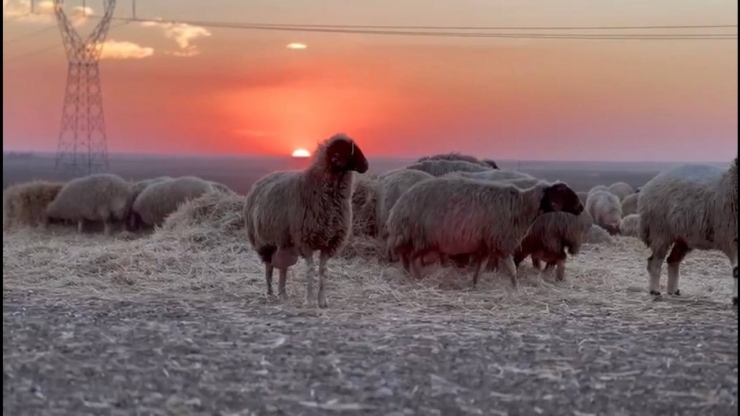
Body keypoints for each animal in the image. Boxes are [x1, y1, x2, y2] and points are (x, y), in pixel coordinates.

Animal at [244, 133, 368, 308]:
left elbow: (323, 272)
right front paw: (309, 300)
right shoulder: (306, 240)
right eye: (346, 150)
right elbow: (310, 271)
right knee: (269, 267)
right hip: (265, 242)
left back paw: (283, 295)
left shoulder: (329, 242)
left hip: (285, 242)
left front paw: (322, 301)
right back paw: (270, 293)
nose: (366, 165)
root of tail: (262, 180)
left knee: (282, 267)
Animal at [382, 178, 584, 290]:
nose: (581, 208)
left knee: (408, 258)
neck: (521, 205)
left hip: (417, 238)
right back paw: (417, 278)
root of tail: (399, 207)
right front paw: (515, 287)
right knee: (413, 258)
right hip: (423, 237)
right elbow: (512, 267)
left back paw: (411, 276)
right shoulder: (501, 242)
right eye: (564, 194)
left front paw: (475, 284)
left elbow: (481, 267)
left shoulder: (488, 244)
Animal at [640, 158, 736, 304]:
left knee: (672, 260)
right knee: (654, 262)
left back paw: (673, 291)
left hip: (683, 238)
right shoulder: (732, 239)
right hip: (660, 231)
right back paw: (655, 291)